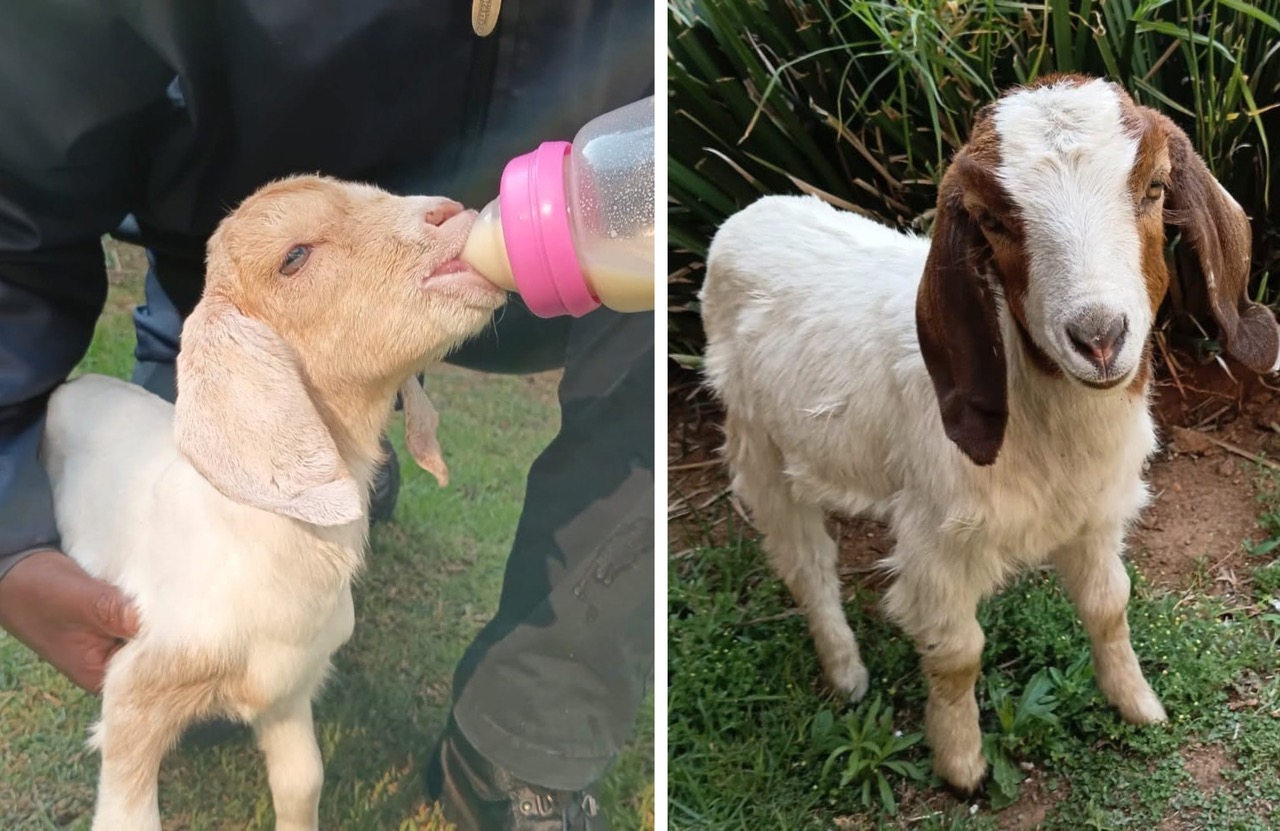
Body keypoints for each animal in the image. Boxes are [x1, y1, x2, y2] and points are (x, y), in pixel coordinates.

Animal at [700, 75, 1280, 792]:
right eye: (996, 221)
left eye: (1153, 188)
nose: (1099, 337)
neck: (1047, 425)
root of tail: (746, 216)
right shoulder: (936, 541)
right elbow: (957, 655)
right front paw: (960, 764)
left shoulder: (1095, 514)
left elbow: (1109, 605)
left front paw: (1139, 704)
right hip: (755, 440)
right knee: (805, 561)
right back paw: (847, 673)